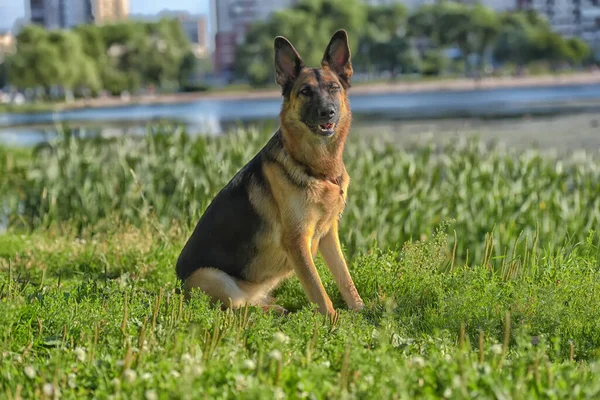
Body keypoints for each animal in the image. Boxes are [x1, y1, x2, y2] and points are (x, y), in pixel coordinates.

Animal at [176, 30, 364, 318]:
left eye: (333, 88)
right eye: (305, 91)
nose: (327, 112)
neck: (315, 167)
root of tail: (176, 290)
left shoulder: (328, 235)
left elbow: (345, 278)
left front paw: (362, 310)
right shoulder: (297, 241)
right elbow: (318, 289)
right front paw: (332, 320)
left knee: (249, 303)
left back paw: (276, 308)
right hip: (211, 277)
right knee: (237, 309)